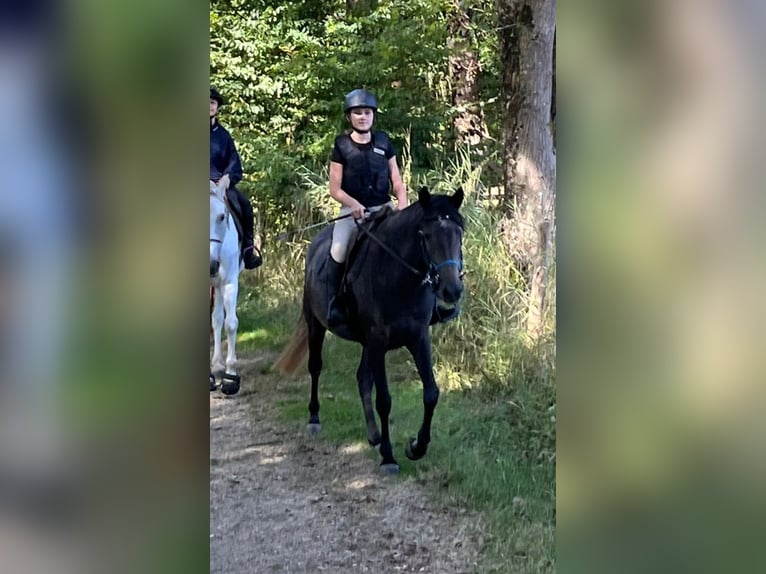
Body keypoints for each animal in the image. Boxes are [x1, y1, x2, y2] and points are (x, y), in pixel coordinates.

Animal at [278, 187, 468, 474]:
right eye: (426, 235)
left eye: (459, 232)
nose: (451, 291)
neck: (399, 277)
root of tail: (316, 243)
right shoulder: (378, 340)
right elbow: (385, 400)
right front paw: (389, 457)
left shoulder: (418, 337)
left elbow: (431, 394)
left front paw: (416, 447)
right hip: (317, 325)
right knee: (316, 367)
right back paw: (314, 419)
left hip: (367, 344)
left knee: (362, 379)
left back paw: (374, 436)